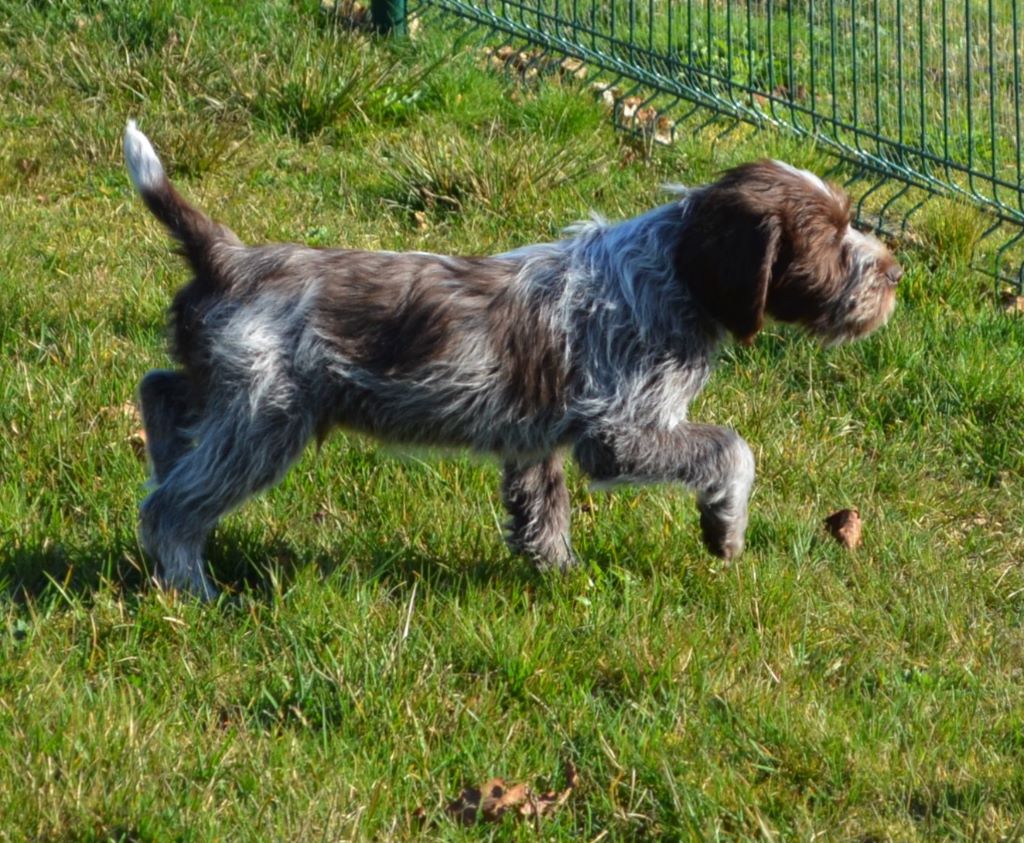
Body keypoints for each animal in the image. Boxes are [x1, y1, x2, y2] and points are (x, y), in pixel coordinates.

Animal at [123, 120, 901, 598]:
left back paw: (164, 458)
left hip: (231, 389)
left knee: (160, 389)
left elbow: (542, 514)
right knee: (172, 507)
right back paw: (193, 587)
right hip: (266, 419)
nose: (894, 273)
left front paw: (561, 576)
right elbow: (732, 449)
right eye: (830, 241)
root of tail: (228, 256)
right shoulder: (618, 433)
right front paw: (726, 527)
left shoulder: (535, 440)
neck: (668, 272)